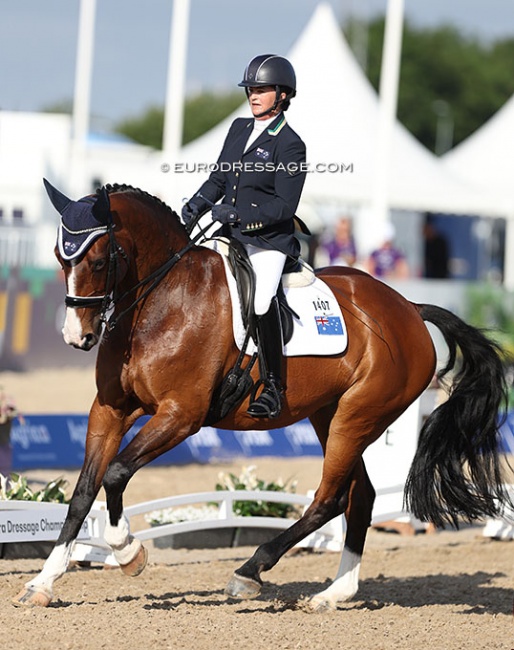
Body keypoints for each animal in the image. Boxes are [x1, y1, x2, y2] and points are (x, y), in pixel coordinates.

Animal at [13, 181, 508, 608]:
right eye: (60, 257)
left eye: (100, 260)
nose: (77, 337)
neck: (162, 303)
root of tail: (409, 308)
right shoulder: (110, 410)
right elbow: (83, 492)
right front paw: (42, 583)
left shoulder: (180, 415)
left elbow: (115, 474)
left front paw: (129, 552)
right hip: (330, 415)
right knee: (361, 496)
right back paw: (334, 594)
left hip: (358, 417)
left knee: (330, 499)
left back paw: (250, 571)